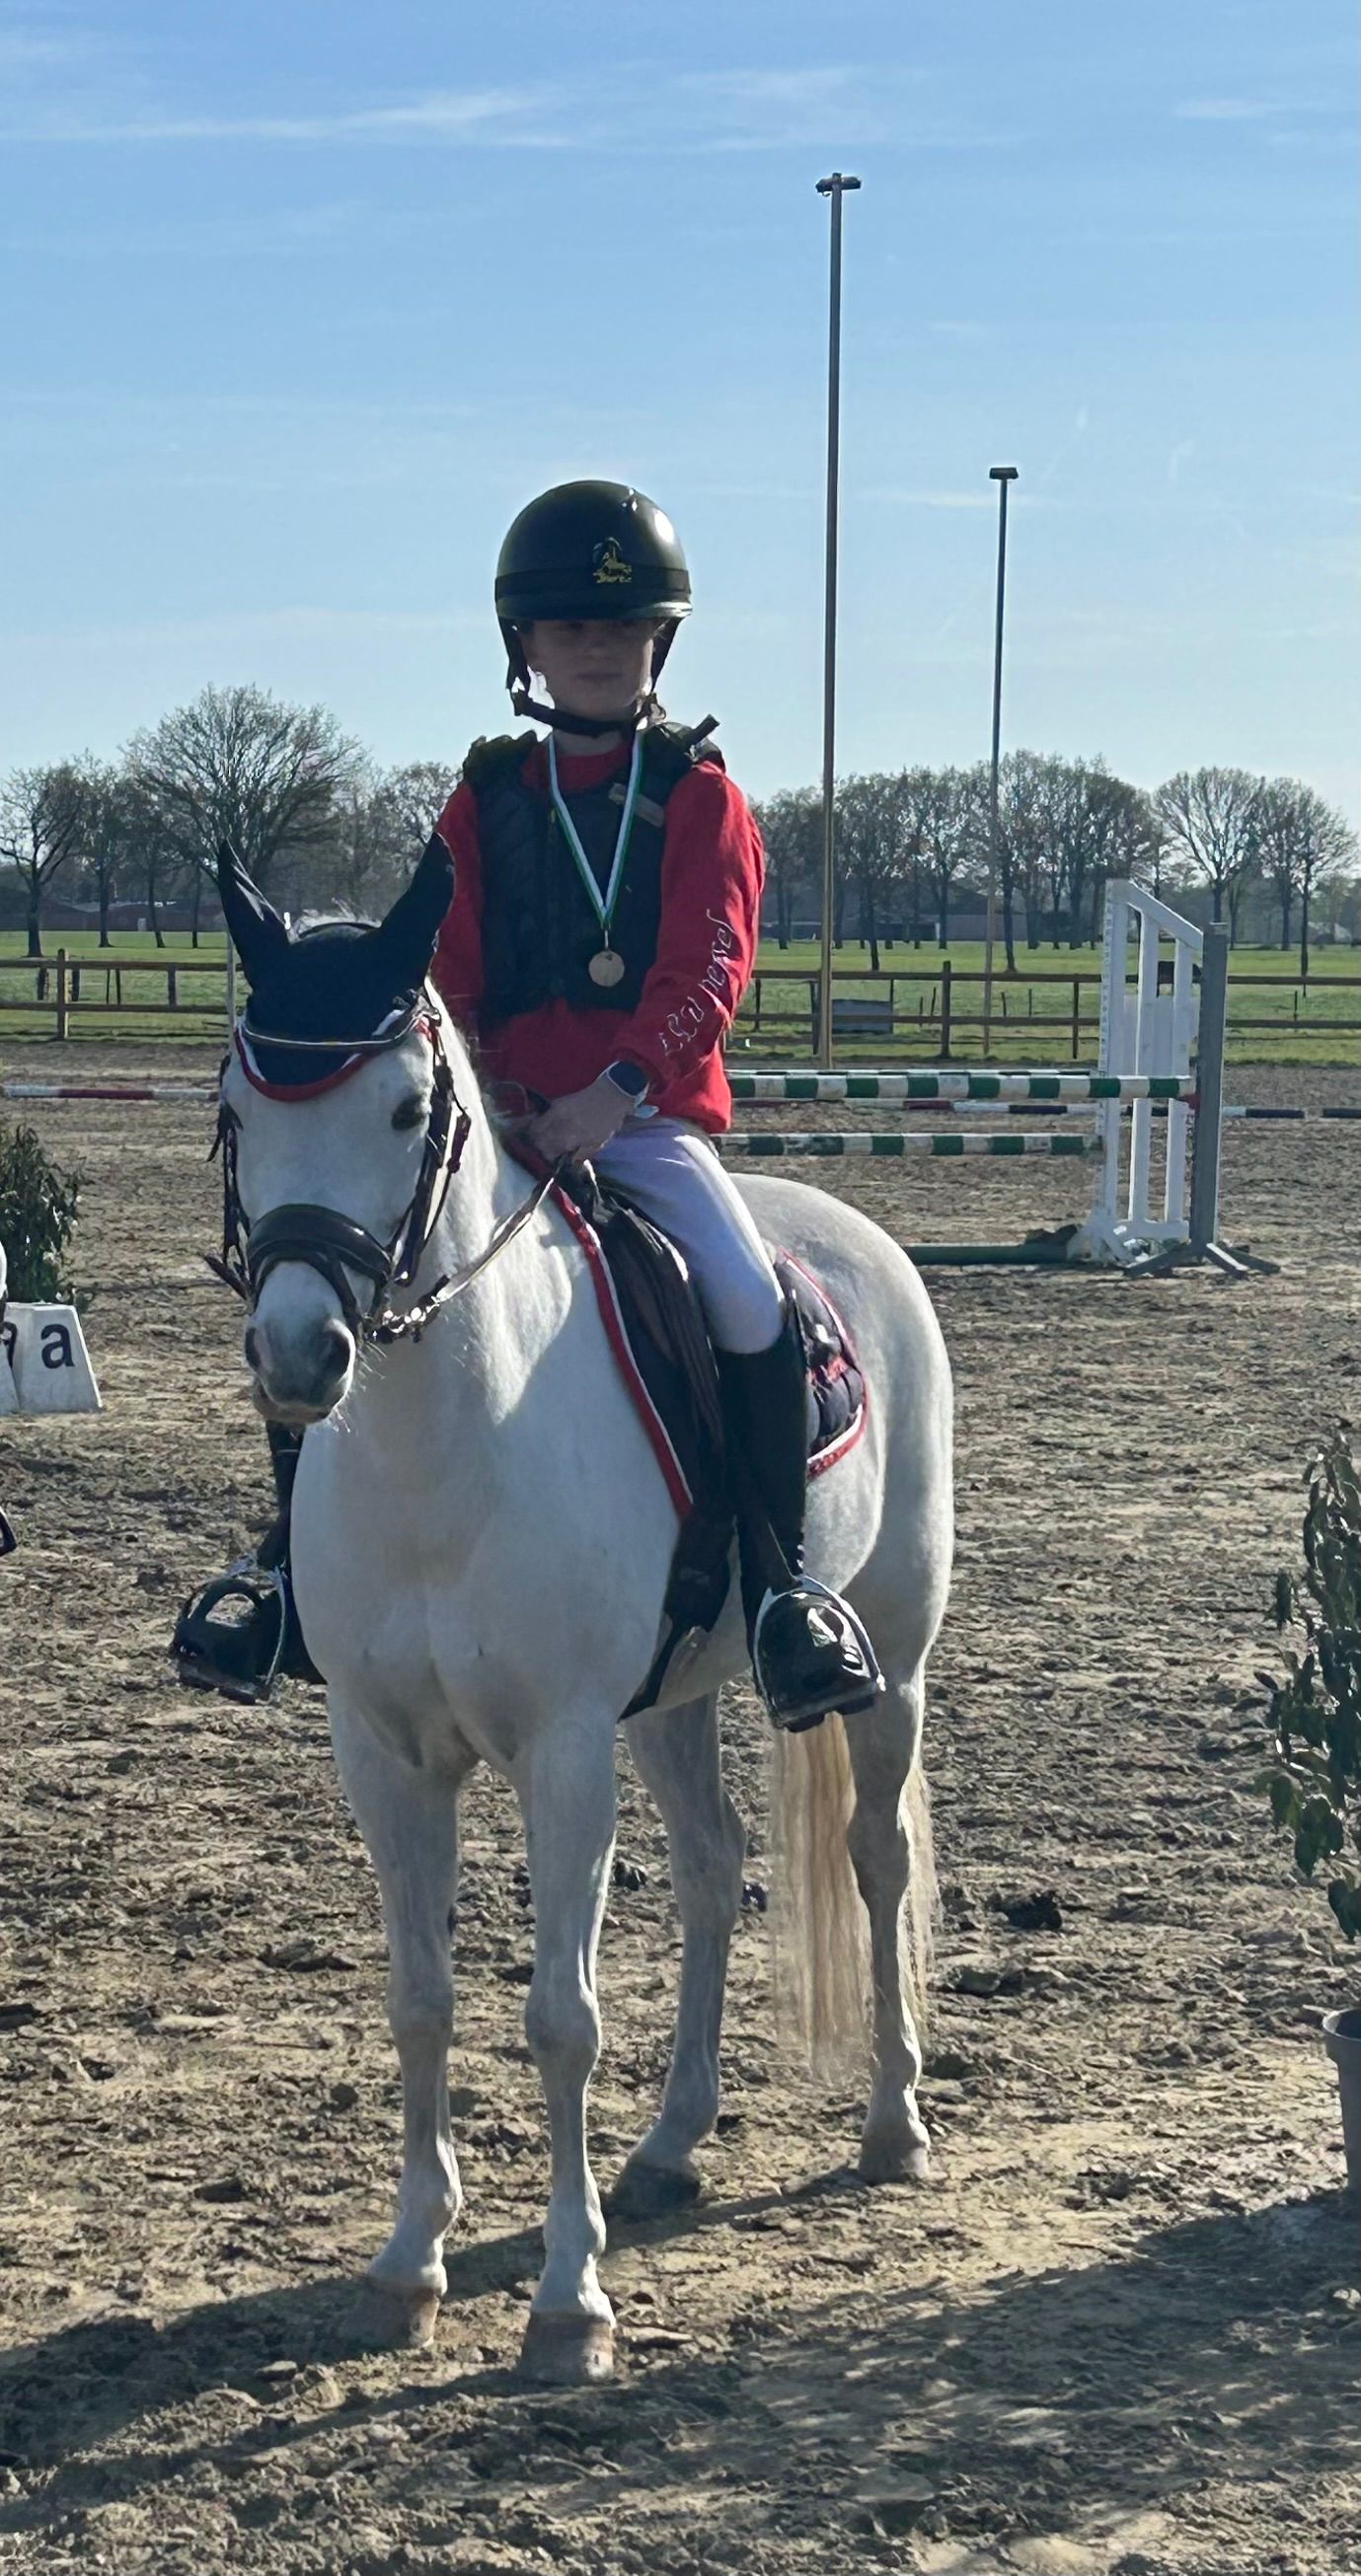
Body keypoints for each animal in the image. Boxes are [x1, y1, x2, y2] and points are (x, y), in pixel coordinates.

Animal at [210, 837, 954, 2385]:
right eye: (238, 1110)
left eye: (407, 1106)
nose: (300, 1353)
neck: (445, 1446)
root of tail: (851, 1231)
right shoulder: (382, 1751)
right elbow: (420, 1996)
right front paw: (407, 2264)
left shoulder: (559, 1751)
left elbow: (558, 2018)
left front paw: (567, 2302)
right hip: (671, 1696)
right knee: (710, 1870)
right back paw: (670, 2145)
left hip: (894, 1660)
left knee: (876, 1857)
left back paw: (892, 2123)